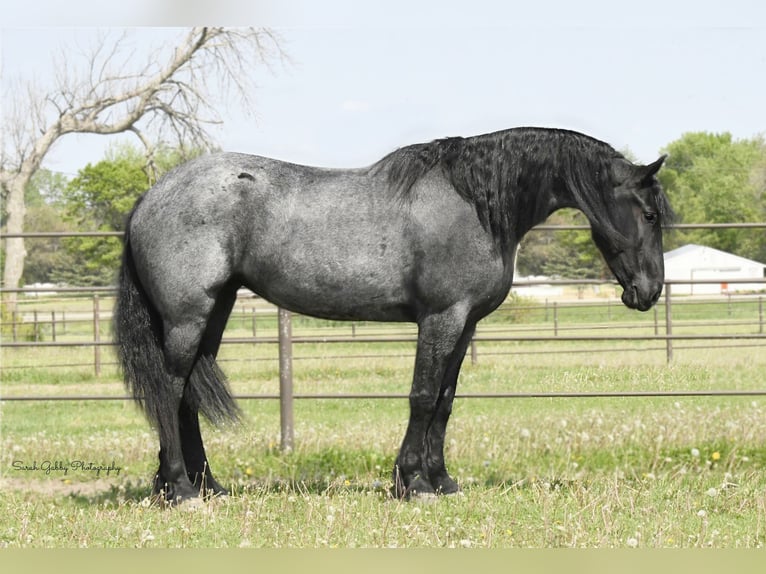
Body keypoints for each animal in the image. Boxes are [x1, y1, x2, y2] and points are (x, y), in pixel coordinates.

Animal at [114, 128, 672, 506]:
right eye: (649, 214)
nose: (648, 293)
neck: (475, 204)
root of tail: (150, 198)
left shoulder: (465, 325)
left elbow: (444, 402)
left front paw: (442, 480)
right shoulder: (441, 318)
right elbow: (422, 397)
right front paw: (412, 482)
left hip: (216, 311)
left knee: (187, 393)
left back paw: (205, 485)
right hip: (188, 316)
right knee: (169, 389)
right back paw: (180, 489)